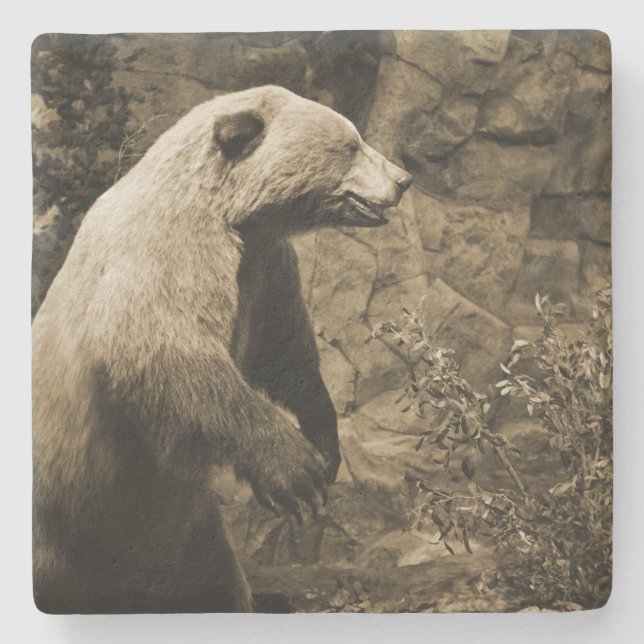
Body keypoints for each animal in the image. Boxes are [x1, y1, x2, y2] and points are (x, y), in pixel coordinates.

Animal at [32, 85, 412, 613]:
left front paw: (325, 444)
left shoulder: (266, 270)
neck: (235, 218)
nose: (403, 179)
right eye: (351, 144)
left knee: (209, 576)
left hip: (178, 525)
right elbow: (169, 348)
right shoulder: (165, 252)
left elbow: (285, 352)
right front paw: (295, 473)